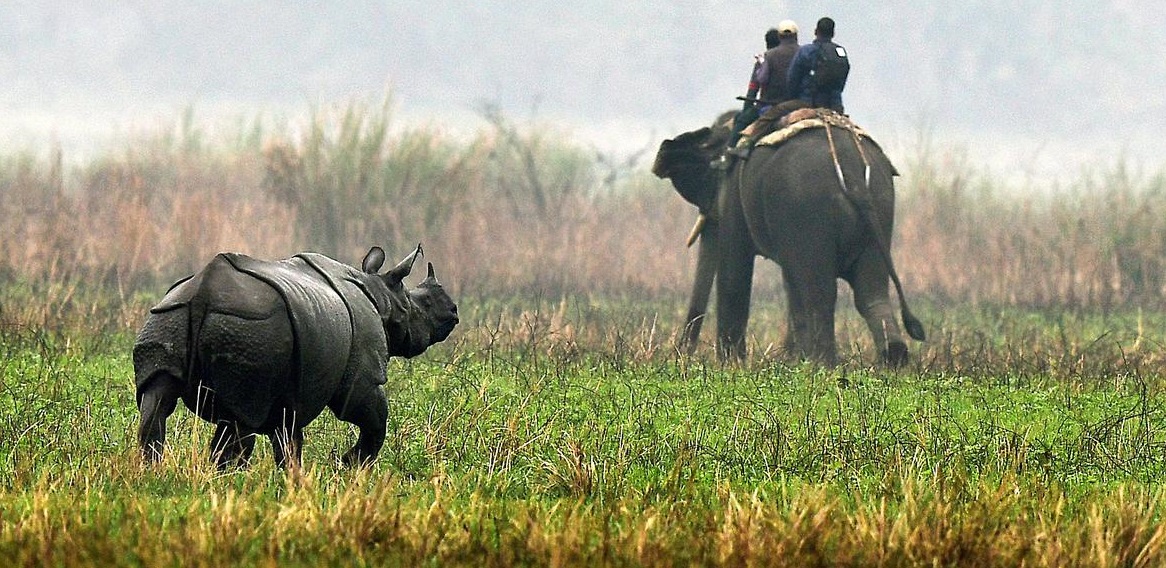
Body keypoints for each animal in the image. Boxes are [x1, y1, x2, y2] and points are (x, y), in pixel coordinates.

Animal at [135, 246, 459, 471]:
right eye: (422, 304)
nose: (453, 312)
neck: (381, 296)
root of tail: (203, 293)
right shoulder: (362, 377)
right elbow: (373, 418)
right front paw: (347, 467)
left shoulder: (292, 390)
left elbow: (289, 440)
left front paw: (294, 479)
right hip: (250, 328)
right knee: (241, 416)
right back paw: (227, 480)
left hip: (168, 315)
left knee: (156, 399)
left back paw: (155, 472)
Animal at [652, 110, 923, 366]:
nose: (682, 355)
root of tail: (852, 173)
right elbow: (790, 282)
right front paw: (793, 357)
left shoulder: (735, 198)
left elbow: (734, 268)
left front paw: (731, 364)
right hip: (880, 206)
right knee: (870, 291)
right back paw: (892, 356)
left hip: (808, 208)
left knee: (820, 292)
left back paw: (822, 364)